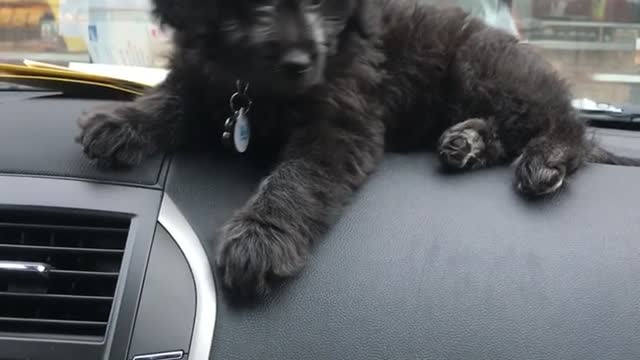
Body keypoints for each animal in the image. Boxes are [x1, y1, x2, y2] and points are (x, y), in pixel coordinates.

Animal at [75, 0, 636, 296]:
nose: (300, 61)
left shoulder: (343, 123)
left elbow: (297, 179)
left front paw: (261, 235)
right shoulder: (211, 83)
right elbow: (174, 97)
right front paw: (122, 121)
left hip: (486, 68)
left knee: (566, 124)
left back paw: (546, 159)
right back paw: (468, 141)